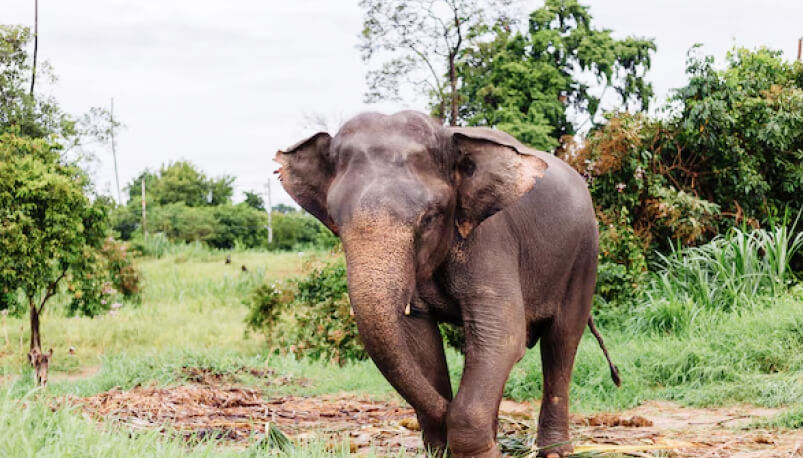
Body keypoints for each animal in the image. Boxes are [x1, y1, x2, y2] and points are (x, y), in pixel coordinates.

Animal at [275, 110, 620, 457]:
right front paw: (447, 446)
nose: (446, 409)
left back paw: (554, 451)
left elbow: (504, 334)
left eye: (428, 218)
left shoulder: (490, 238)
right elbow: (418, 338)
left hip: (584, 255)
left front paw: (481, 448)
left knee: (561, 341)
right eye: (335, 220)